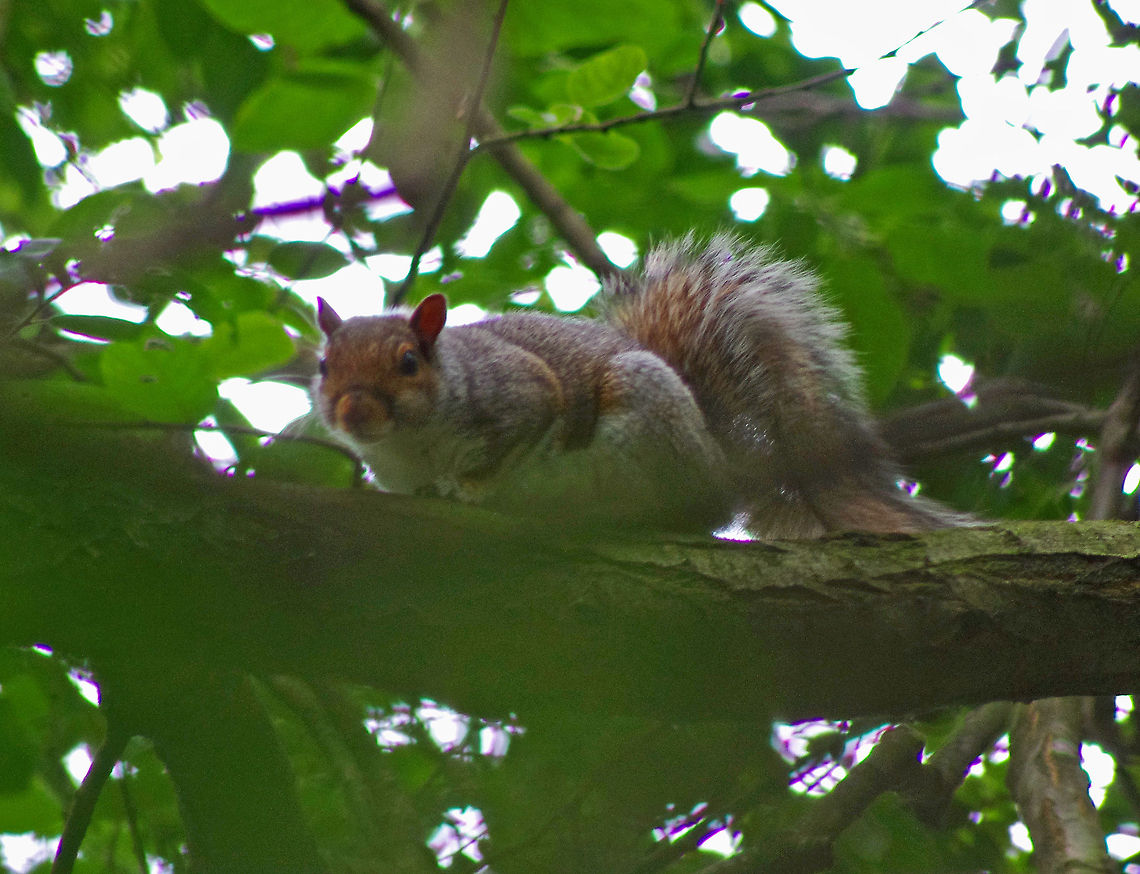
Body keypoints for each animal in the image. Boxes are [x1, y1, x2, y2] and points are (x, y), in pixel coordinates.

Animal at [312, 234, 968, 536]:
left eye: (408, 362)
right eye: (324, 366)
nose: (353, 412)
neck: (411, 442)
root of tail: (721, 459)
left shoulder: (521, 393)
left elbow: (520, 435)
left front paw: (470, 489)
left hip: (646, 410)